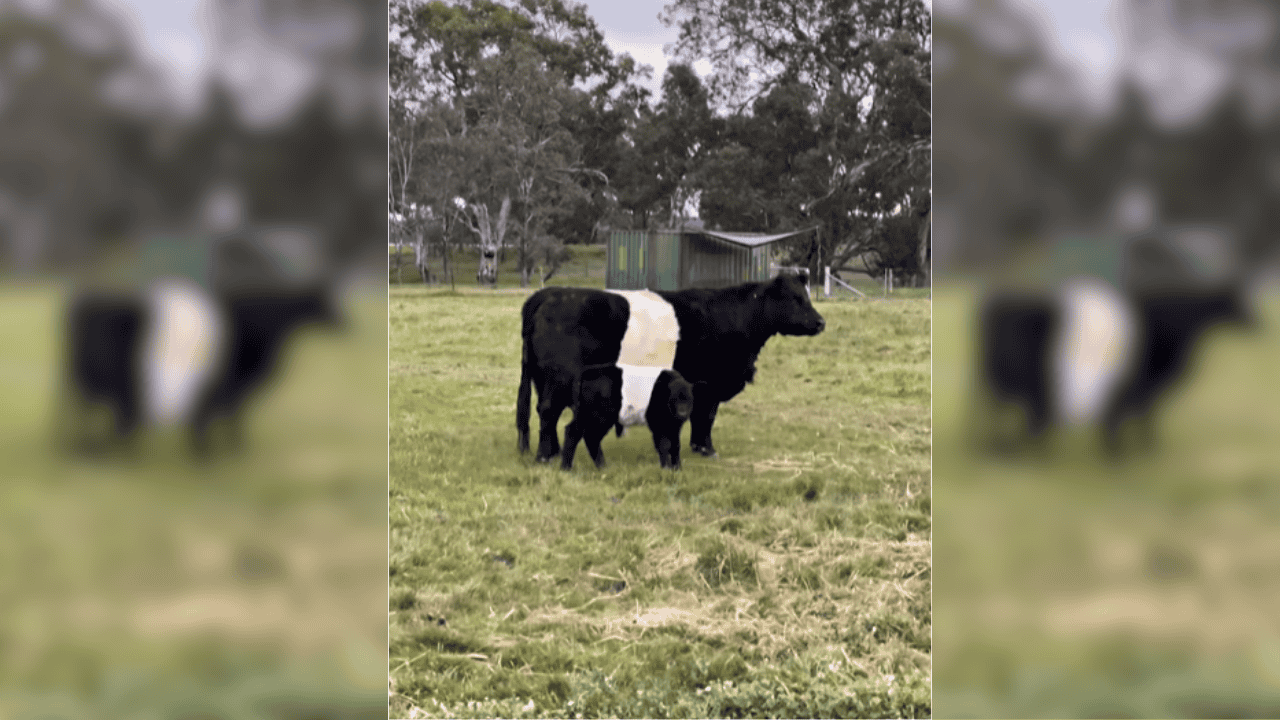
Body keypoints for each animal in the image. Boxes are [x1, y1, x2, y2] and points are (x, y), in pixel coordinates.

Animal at [562, 364, 696, 471]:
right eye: (673, 399)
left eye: (689, 399)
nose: (682, 413)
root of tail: (585, 373)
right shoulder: (657, 423)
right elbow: (664, 445)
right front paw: (666, 468)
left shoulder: (674, 426)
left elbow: (675, 446)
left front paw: (677, 469)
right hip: (599, 417)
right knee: (590, 437)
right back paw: (601, 467)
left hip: (584, 414)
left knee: (573, 432)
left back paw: (568, 468)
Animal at [977, 274, 1254, 456]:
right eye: (1238, 300)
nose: (1258, 324)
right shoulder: (1136, 386)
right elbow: (1133, 417)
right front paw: (1129, 452)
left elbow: (1132, 416)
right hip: (1019, 381)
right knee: (1006, 415)